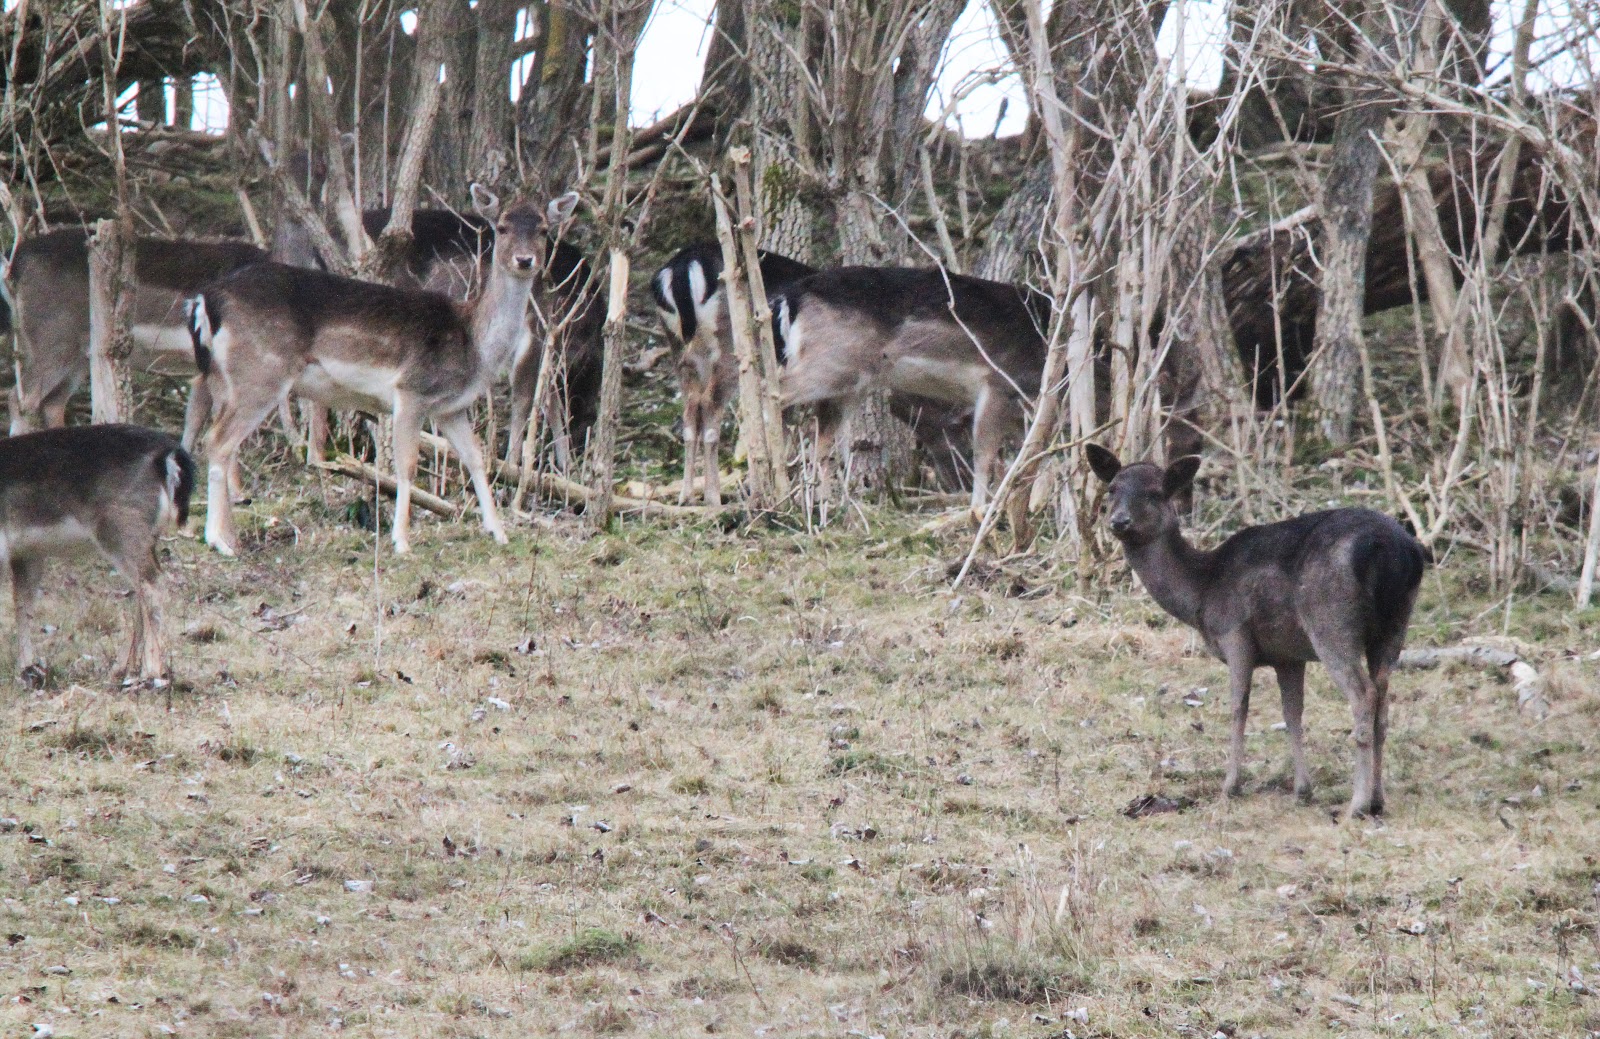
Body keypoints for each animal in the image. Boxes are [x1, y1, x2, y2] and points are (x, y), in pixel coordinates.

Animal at [0, 424, 194, 683]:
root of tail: (169, 454)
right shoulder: (27, 552)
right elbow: (23, 603)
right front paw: (26, 669)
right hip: (146, 535)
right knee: (143, 588)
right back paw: (122, 668)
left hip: (120, 527)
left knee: (153, 583)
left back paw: (151, 671)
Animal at [188, 186, 576, 556]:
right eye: (503, 226)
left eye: (543, 228)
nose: (524, 260)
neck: (474, 345)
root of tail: (208, 300)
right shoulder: (411, 389)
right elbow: (406, 465)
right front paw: (401, 541)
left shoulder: (451, 408)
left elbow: (477, 458)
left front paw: (499, 533)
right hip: (260, 374)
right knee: (218, 442)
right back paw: (218, 541)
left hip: (226, 379)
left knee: (219, 438)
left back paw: (229, 536)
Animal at [771, 267, 1050, 513]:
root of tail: (790, 296)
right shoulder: (999, 383)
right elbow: (986, 455)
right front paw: (980, 512)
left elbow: (1038, 453)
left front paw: (1034, 507)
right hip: (833, 363)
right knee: (776, 392)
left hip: (847, 383)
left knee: (821, 438)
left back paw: (828, 510)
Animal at [1085, 445, 1429, 819]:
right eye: (1112, 488)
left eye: (1156, 492)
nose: (1119, 521)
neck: (1202, 591)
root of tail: (1395, 550)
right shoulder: (1288, 654)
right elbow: (1292, 713)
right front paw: (1302, 790)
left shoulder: (1234, 632)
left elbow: (1239, 706)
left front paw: (1231, 786)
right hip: (1396, 624)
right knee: (1382, 698)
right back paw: (1378, 799)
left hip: (1331, 620)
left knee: (1363, 694)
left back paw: (1357, 805)